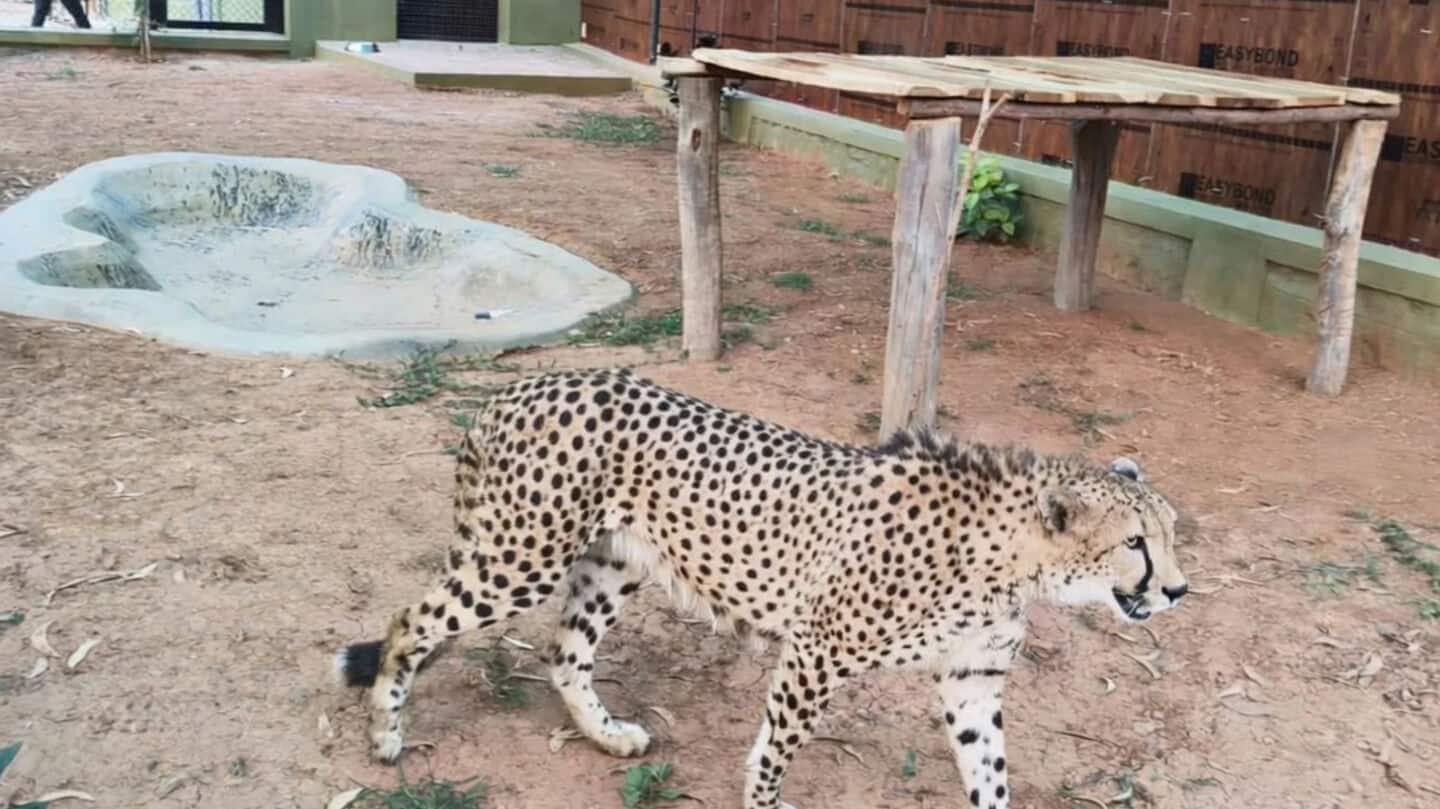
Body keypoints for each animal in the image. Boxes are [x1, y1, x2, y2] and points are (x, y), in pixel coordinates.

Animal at [332, 367, 1187, 809]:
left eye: (1172, 531)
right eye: (1135, 543)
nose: (1178, 590)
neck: (1014, 556)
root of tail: (522, 382)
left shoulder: (970, 678)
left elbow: (991, 774)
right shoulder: (817, 648)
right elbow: (776, 750)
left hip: (613, 562)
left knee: (565, 652)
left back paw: (608, 734)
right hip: (523, 554)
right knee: (411, 618)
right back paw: (385, 733)